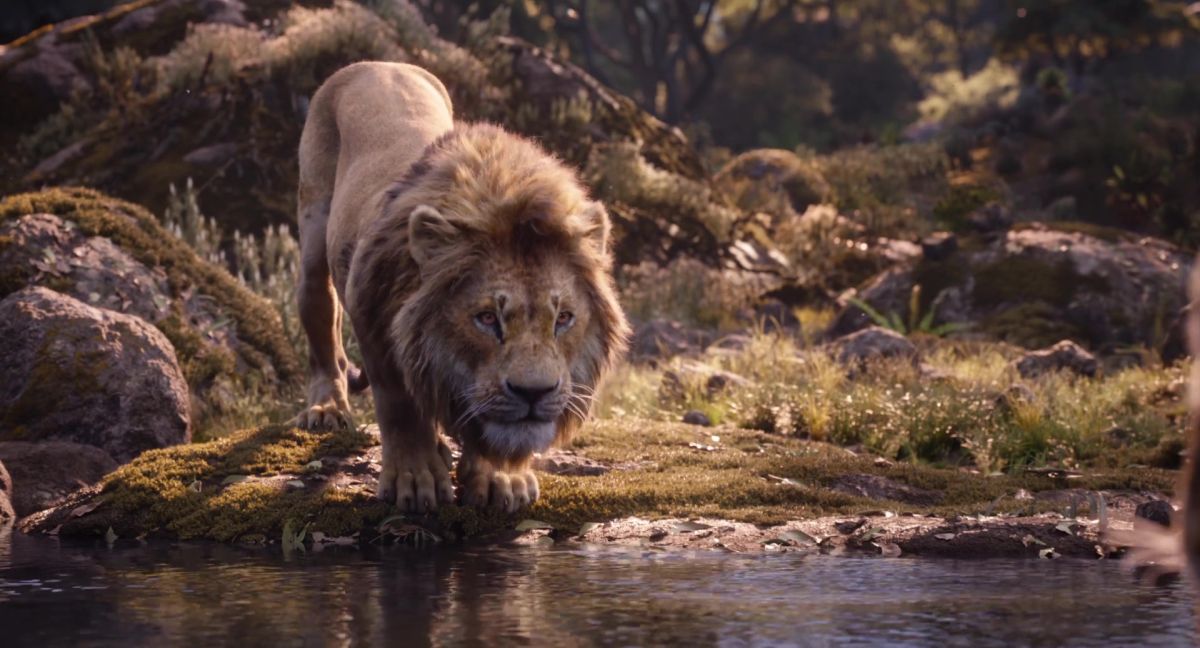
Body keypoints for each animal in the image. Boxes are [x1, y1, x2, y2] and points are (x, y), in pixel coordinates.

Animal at [294, 61, 629, 514]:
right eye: (486, 319)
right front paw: (414, 479)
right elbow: (400, 406)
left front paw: (502, 478)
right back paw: (327, 407)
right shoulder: (372, 315)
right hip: (313, 237)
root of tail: (378, 64)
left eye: (563, 319)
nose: (534, 393)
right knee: (322, 326)